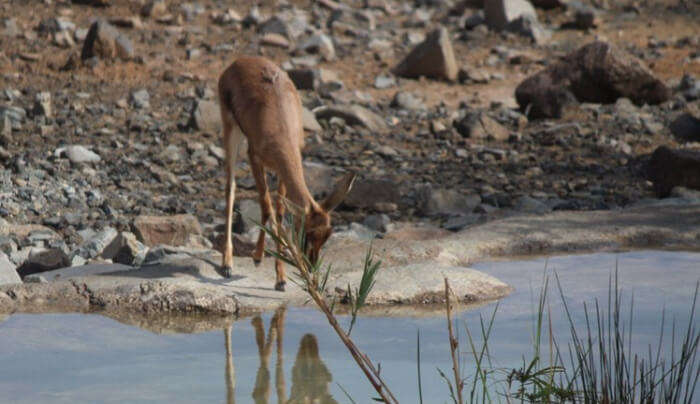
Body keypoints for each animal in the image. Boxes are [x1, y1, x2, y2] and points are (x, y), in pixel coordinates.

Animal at [217, 56, 356, 290]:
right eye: (306, 232)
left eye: (327, 235)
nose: (311, 266)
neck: (281, 127)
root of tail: (239, 61)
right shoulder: (254, 157)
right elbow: (266, 207)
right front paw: (259, 259)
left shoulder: (282, 170)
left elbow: (280, 212)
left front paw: (280, 277)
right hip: (231, 132)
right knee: (230, 188)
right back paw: (227, 265)